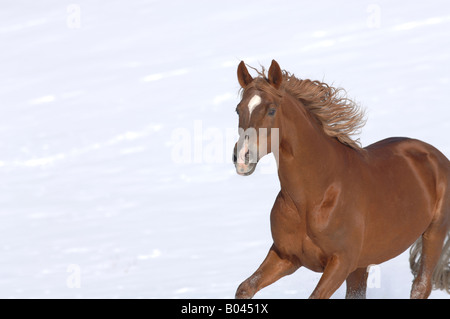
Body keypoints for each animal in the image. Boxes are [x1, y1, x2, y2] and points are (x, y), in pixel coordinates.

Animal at [234, 60, 448, 300]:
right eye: (238, 109)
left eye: (271, 110)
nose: (242, 158)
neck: (313, 196)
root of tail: (435, 155)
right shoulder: (285, 256)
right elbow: (245, 288)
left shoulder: (341, 262)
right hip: (362, 264)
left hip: (434, 232)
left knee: (421, 285)